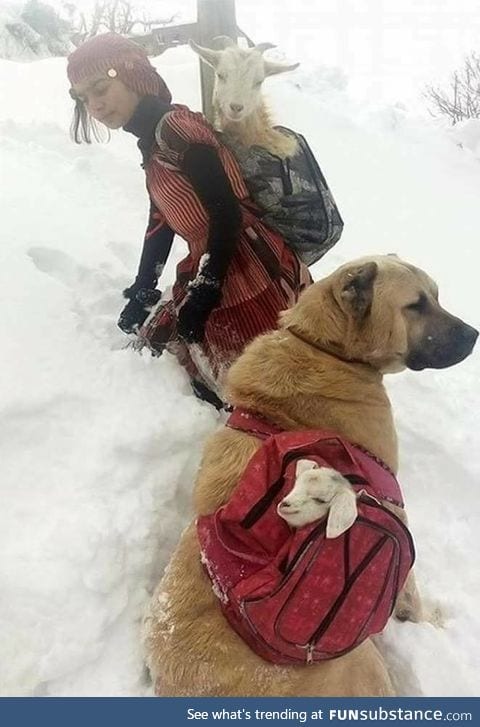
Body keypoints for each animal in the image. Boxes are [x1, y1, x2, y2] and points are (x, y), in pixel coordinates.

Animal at [142, 255, 476, 692]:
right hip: (361, 662)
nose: (474, 335)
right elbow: (410, 593)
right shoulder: (391, 508)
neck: (324, 347)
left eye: (436, 295)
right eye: (416, 305)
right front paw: (430, 622)